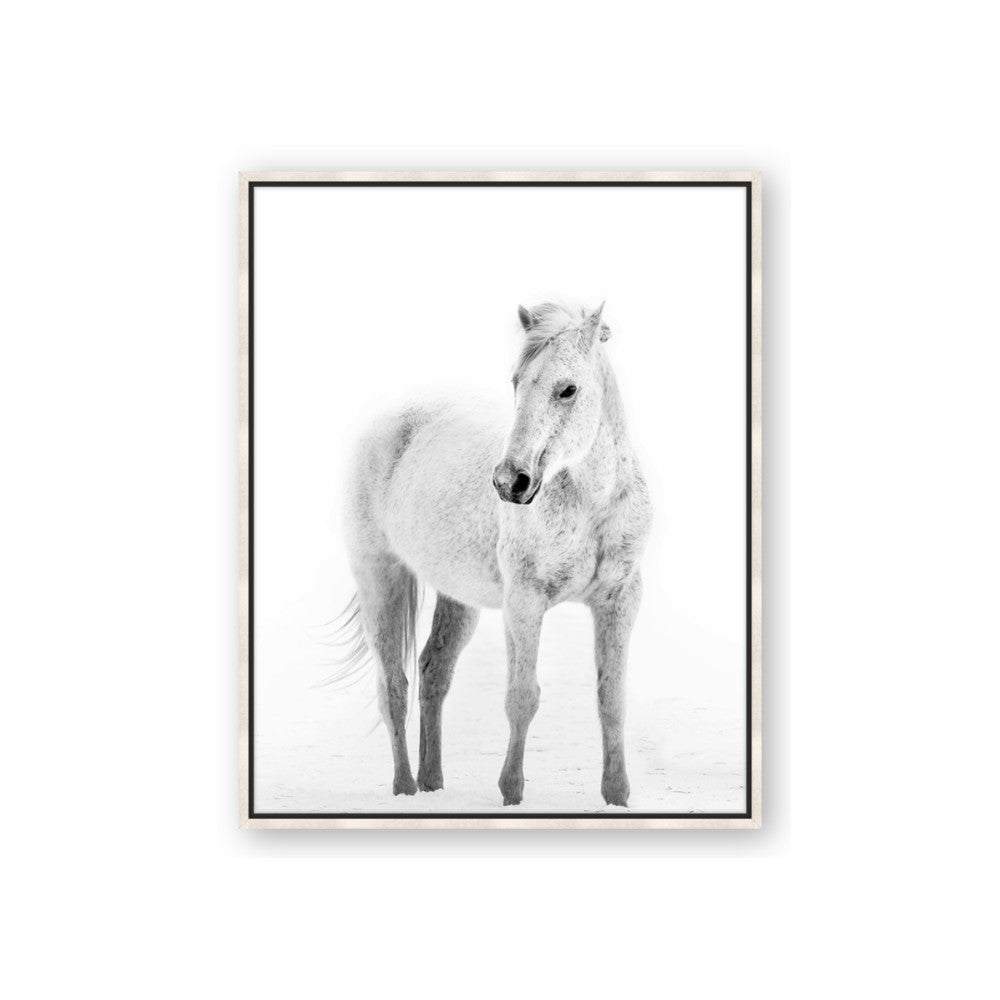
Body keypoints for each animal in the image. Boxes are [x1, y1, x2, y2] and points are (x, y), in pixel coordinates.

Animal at [339, 301, 652, 807]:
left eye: (568, 389)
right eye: (516, 382)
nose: (510, 482)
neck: (592, 504)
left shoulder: (621, 599)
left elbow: (612, 699)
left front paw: (617, 796)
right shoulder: (524, 603)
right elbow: (522, 697)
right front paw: (511, 792)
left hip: (456, 597)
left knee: (433, 672)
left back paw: (432, 782)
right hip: (379, 578)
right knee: (394, 687)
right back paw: (405, 788)